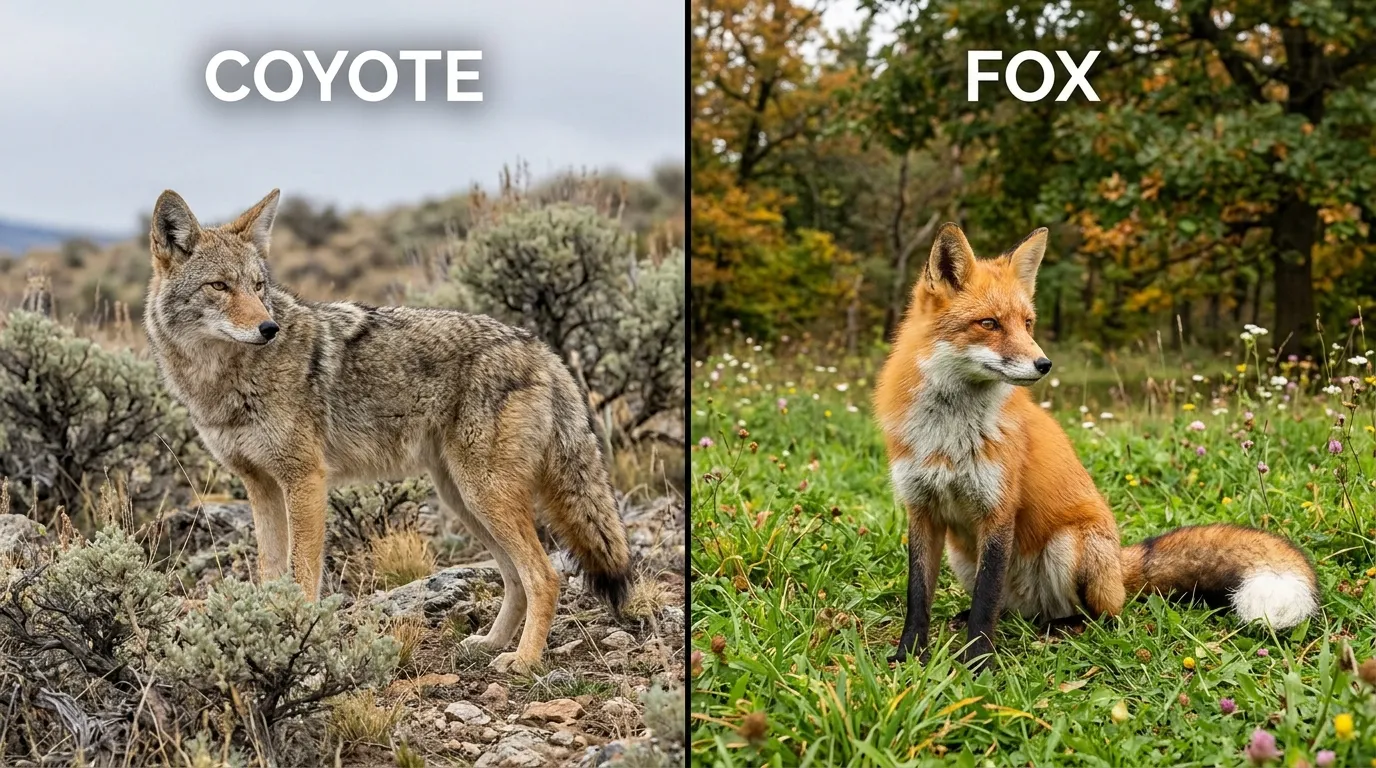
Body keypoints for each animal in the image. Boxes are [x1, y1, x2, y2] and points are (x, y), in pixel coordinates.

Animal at [144, 188, 632, 673]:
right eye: (219, 286)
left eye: (258, 287)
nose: (269, 327)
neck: (221, 382)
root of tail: (542, 349)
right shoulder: (260, 486)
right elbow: (270, 572)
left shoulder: (304, 480)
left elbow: (303, 574)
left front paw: (295, 644)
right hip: (464, 500)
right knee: (514, 577)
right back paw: (491, 643)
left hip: (485, 496)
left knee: (544, 576)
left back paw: (524, 660)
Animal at [874, 222, 1319, 669]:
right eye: (989, 323)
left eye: (1027, 323)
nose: (1044, 364)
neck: (948, 435)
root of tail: (1119, 567)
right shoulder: (921, 509)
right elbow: (919, 595)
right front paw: (909, 654)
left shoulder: (998, 511)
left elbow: (986, 601)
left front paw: (978, 662)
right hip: (962, 555)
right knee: (1012, 609)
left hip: (1071, 545)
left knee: (1102, 616)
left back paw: (1061, 628)